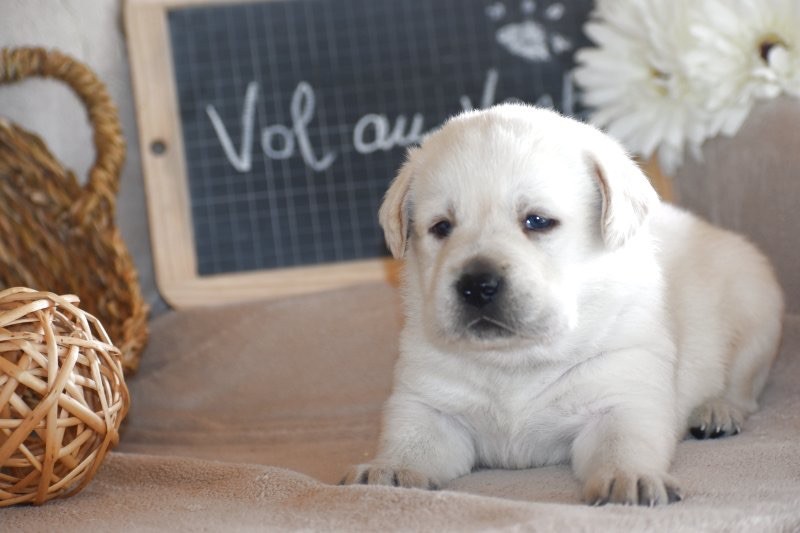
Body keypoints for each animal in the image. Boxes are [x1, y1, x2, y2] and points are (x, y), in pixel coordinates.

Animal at [340, 103, 784, 502]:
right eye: (441, 227)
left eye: (537, 221)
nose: (476, 285)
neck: (516, 362)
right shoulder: (428, 402)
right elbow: (410, 442)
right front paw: (387, 471)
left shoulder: (623, 394)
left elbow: (623, 443)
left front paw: (630, 478)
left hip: (756, 314)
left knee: (744, 387)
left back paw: (716, 411)